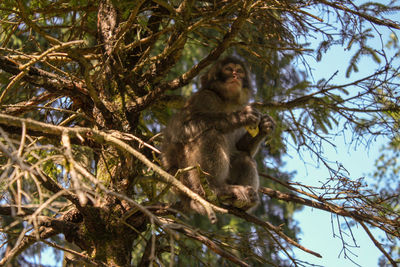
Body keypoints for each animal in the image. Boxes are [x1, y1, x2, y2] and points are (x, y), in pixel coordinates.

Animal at [162, 56, 276, 216]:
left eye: (239, 71)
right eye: (228, 69)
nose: (235, 75)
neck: (226, 101)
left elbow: (242, 148)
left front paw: (264, 126)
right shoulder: (204, 98)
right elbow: (180, 130)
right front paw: (239, 117)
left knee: (244, 157)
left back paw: (243, 201)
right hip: (186, 175)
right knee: (210, 134)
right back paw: (216, 188)